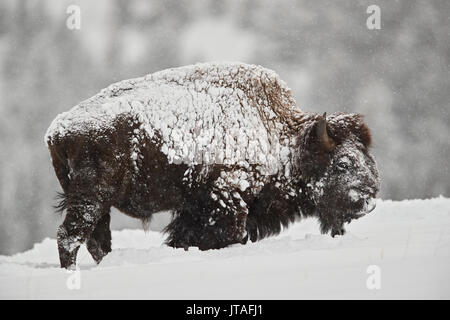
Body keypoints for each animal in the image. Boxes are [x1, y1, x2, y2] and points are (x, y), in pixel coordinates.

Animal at [44, 62, 380, 268]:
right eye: (342, 164)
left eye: (368, 158)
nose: (369, 198)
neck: (279, 137)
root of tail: (57, 131)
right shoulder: (224, 203)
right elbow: (218, 236)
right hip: (91, 198)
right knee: (70, 237)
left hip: (99, 204)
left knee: (96, 241)